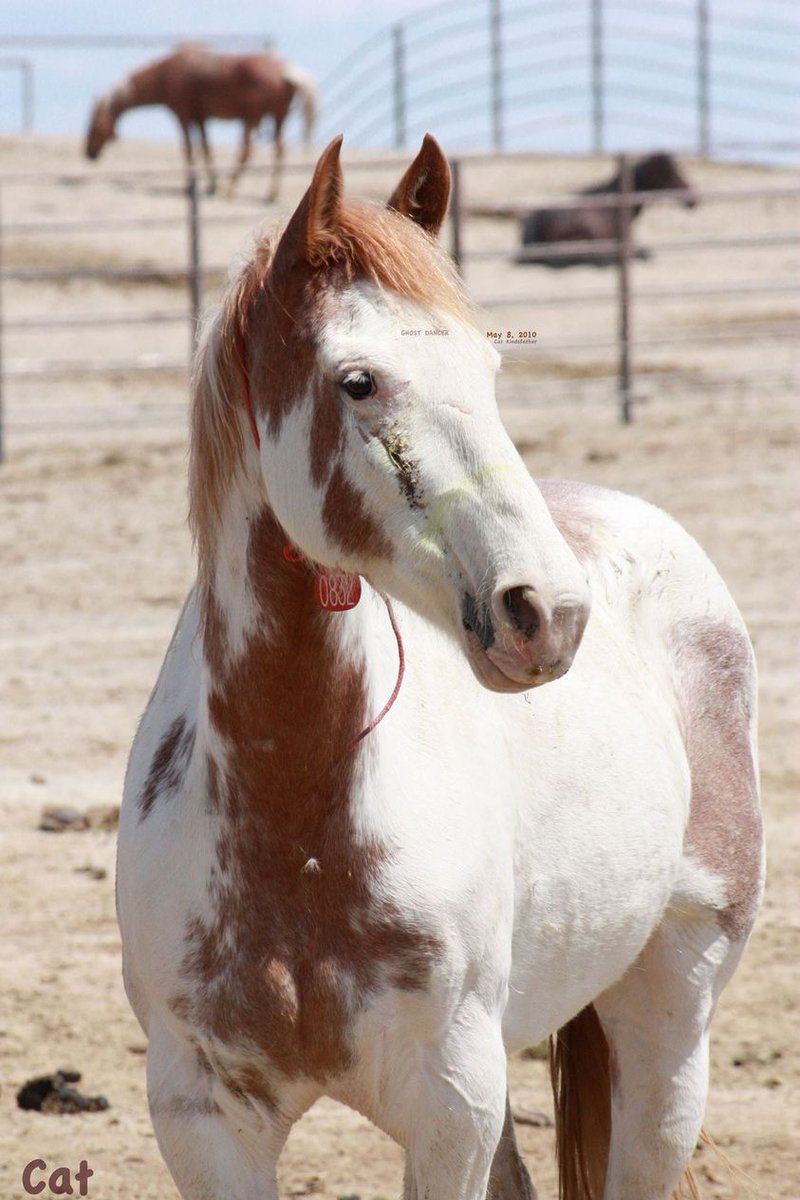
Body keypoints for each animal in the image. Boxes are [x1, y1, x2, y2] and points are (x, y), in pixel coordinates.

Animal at [85, 43, 316, 199]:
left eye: (94, 125)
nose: (88, 153)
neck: (167, 73)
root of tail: (285, 69)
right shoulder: (200, 118)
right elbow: (206, 149)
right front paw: (210, 186)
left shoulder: (183, 116)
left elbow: (189, 150)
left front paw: (191, 186)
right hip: (278, 118)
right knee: (279, 150)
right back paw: (270, 194)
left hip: (251, 118)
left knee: (246, 151)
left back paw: (230, 188)